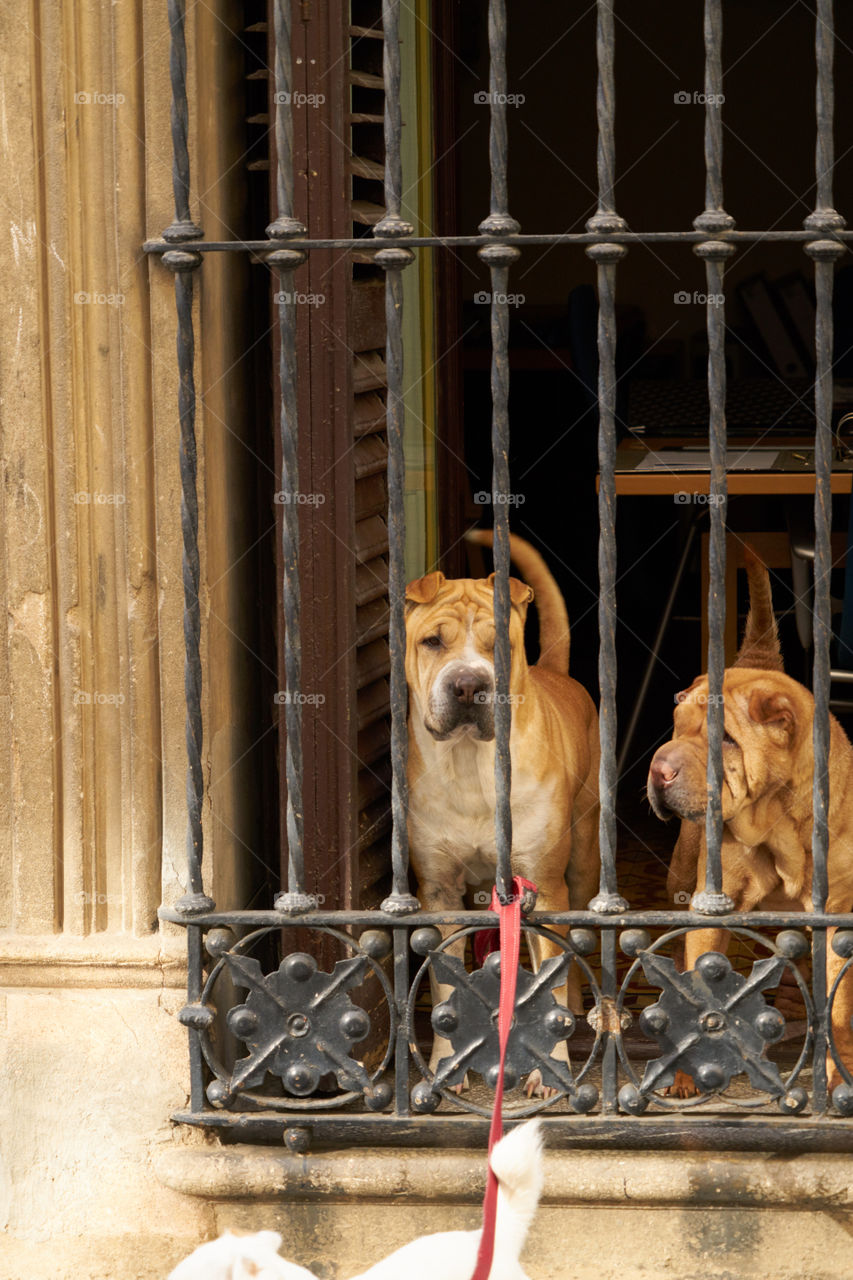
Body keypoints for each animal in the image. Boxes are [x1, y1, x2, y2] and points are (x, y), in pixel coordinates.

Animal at [404, 529, 596, 1090]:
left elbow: (550, 979)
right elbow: (445, 984)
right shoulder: (440, 892)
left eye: (499, 646)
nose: (469, 684)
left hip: (584, 859)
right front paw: (447, 1063)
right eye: (433, 642)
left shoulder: (543, 886)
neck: (472, 766)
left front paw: (551, 1068)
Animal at [645, 547, 850, 1090]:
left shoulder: (840, 913)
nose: (659, 768)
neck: (776, 819)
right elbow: (696, 988)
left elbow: (840, 1007)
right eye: (677, 727)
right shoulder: (709, 906)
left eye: (725, 739)